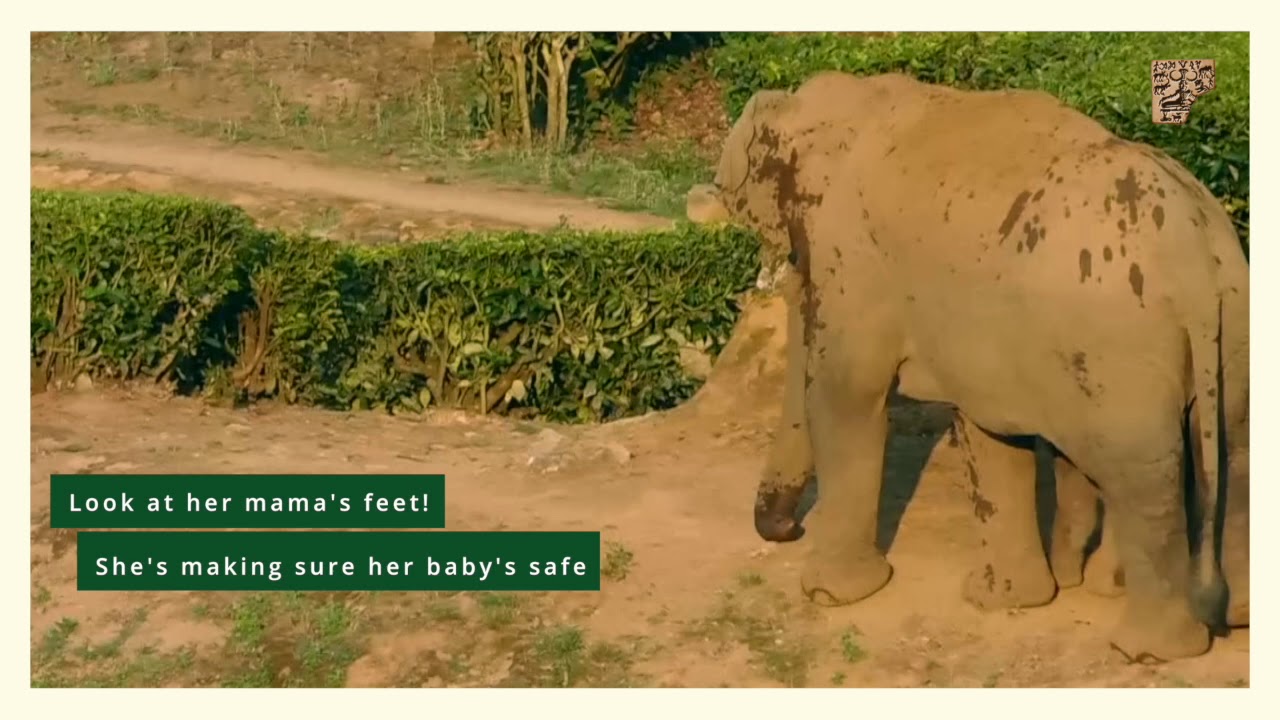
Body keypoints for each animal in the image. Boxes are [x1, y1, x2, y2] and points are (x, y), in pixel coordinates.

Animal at [692, 72, 1249, 662]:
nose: (787, 530)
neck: (849, 96)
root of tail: (1196, 254)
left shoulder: (854, 256)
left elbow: (846, 393)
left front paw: (830, 594)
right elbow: (989, 433)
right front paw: (1004, 598)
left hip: (1118, 348)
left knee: (1142, 475)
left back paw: (1148, 650)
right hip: (1230, 323)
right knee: (1232, 450)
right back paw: (1227, 614)